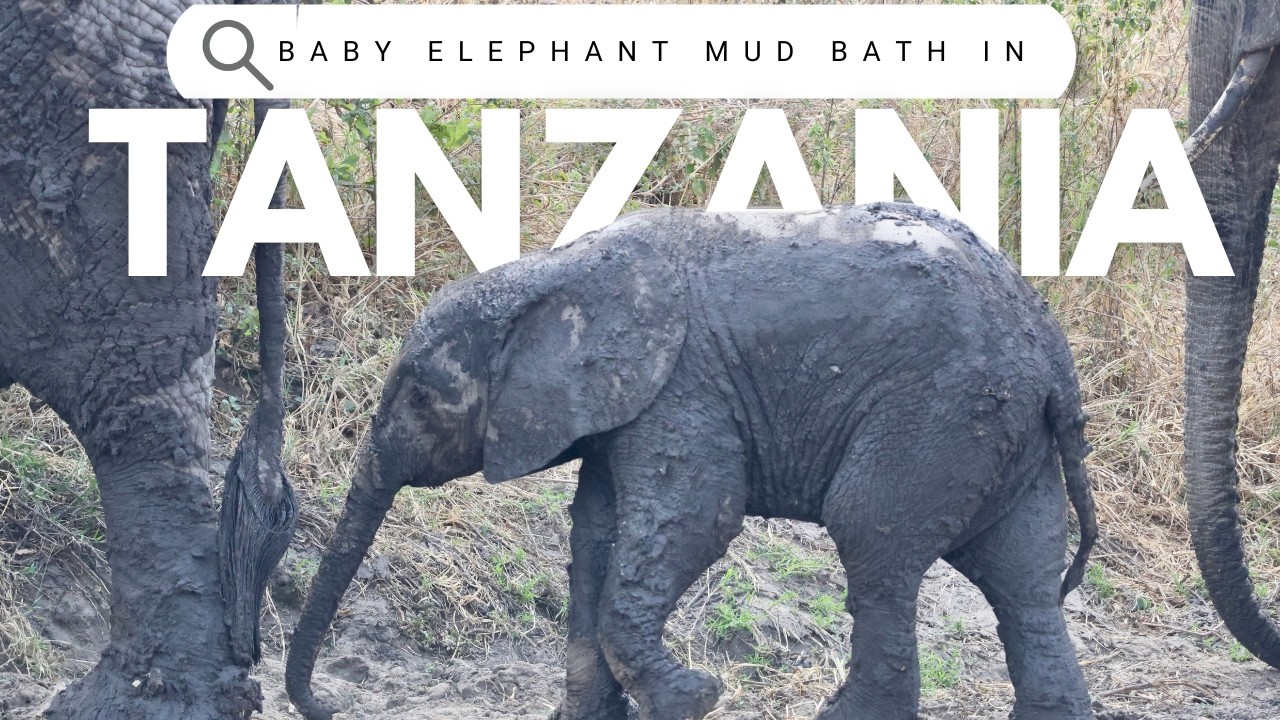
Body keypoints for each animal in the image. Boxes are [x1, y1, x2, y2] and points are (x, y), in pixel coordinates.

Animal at [285, 202, 1099, 720]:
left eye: (419, 394)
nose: (329, 706)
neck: (556, 270)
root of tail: (1050, 350)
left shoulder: (682, 385)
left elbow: (694, 522)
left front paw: (694, 702)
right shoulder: (627, 406)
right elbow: (595, 536)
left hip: (942, 411)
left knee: (874, 541)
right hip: (1002, 432)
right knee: (1023, 582)